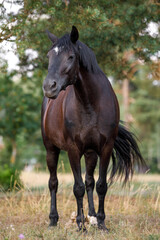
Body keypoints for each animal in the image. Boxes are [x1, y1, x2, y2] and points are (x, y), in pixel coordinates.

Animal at [41, 25, 146, 231]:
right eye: (49, 55)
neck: (90, 103)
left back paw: (92, 216)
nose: (49, 87)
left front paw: (101, 222)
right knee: (53, 183)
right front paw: (80, 225)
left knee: (89, 181)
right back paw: (53, 220)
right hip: (51, 149)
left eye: (70, 56)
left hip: (90, 153)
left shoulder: (105, 148)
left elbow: (100, 185)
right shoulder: (73, 150)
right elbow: (78, 187)